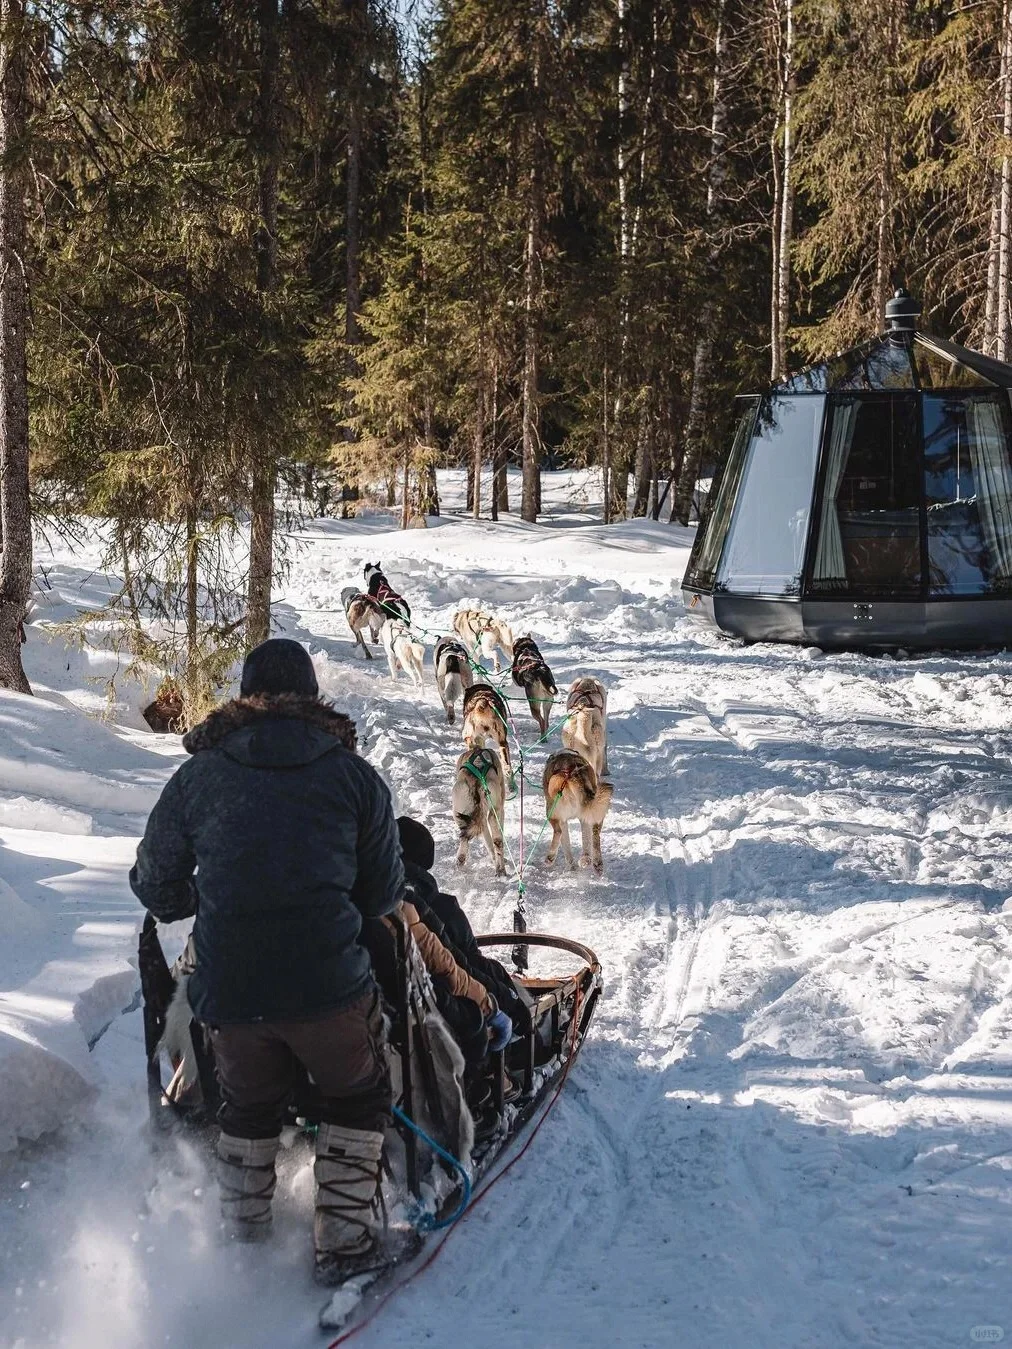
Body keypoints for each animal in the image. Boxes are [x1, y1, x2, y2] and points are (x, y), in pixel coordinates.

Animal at [450, 739, 507, 874]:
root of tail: (477, 779)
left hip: (458, 812)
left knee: (464, 836)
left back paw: (461, 860)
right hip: (495, 811)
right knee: (498, 841)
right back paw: (501, 869)